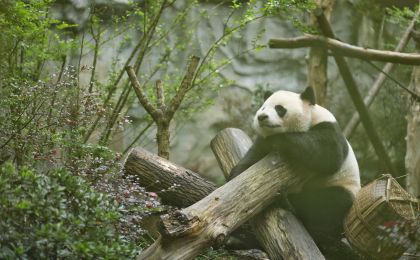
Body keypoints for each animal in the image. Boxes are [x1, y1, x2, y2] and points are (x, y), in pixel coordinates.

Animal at [230, 87, 360, 260]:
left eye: (279, 109)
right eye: (263, 107)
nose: (261, 117)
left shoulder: (328, 128)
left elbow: (327, 154)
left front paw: (280, 140)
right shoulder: (262, 143)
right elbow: (251, 160)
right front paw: (233, 179)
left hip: (342, 186)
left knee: (327, 202)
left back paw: (287, 201)